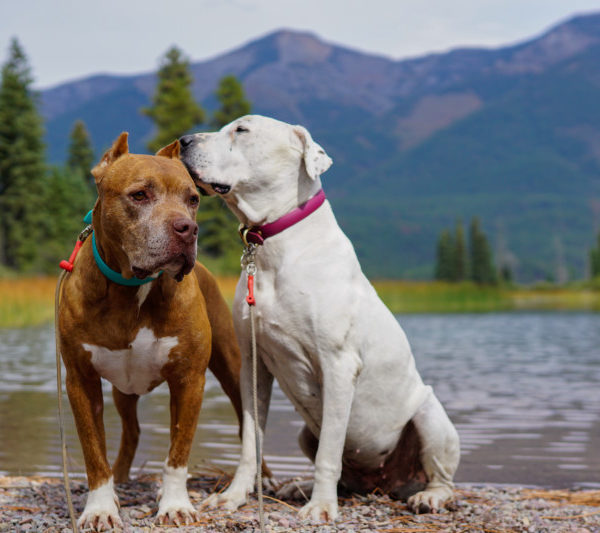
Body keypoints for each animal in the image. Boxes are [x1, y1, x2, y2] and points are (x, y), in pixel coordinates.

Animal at [57, 133, 243, 528]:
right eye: (139, 194)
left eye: (192, 199)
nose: (188, 229)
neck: (133, 289)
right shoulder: (80, 380)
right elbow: (93, 451)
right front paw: (100, 507)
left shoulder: (189, 380)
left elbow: (178, 451)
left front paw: (174, 505)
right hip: (122, 393)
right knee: (131, 431)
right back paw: (120, 480)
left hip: (232, 367)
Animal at [179, 116, 460, 520]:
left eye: (242, 130)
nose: (183, 141)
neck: (275, 247)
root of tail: (384, 483)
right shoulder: (253, 364)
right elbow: (250, 442)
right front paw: (233, 496)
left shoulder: (338, 365)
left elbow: (330, 450)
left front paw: (322, 508)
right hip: (304, 433)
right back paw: (298, 487)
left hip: (430, 416)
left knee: (440, 473)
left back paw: (430, 496)